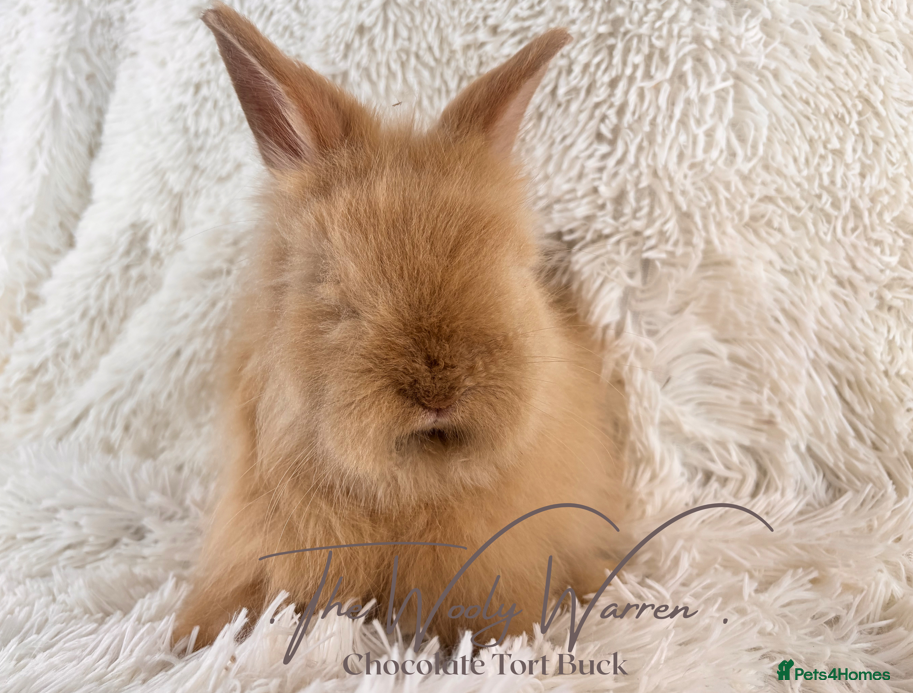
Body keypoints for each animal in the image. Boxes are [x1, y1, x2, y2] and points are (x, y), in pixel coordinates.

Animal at [173, 1, 628, 653]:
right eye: (338, 294)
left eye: (514, 271)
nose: (438, 393)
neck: (408, 482)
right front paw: (194, 640)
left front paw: (501, 644)